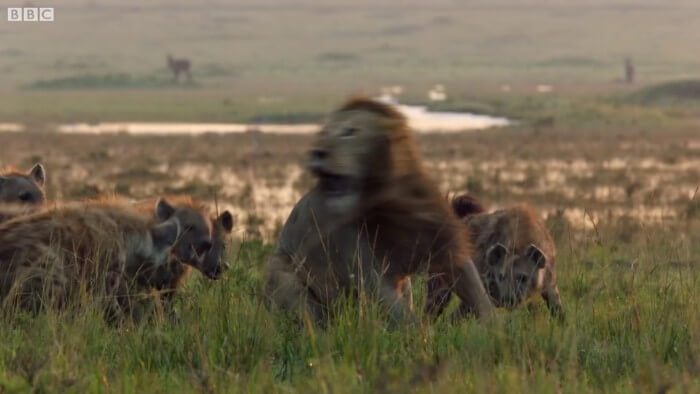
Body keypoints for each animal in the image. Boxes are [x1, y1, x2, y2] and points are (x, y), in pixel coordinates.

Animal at [266, 97, 494, 324]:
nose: (317, 152)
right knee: (312, 316)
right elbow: (404, 316)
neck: (389, 198)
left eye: (350, 131)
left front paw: (493, 327)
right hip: (281, 271)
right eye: (323, 133)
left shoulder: (443, 239)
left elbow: (475, 290)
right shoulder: (368, 269)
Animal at [424, 195, 560, 318]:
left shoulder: (549, 281)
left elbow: (555, 305)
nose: (508, 298)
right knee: (436, 301)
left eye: (523, 278)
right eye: (501, 276)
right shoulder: (482, 285)